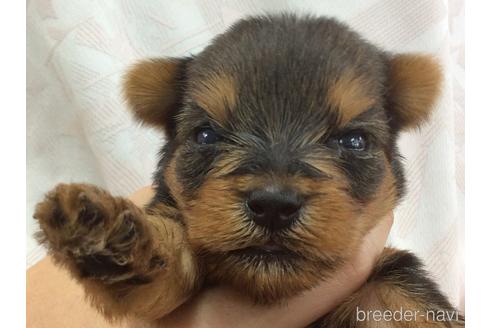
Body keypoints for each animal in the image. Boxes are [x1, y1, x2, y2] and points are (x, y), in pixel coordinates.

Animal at [32, 14, 464, 326]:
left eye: (354, 141)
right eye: (206, 134)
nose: (274, 205)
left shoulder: (393, 281)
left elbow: (409, 302)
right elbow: (171, 251)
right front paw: (106, 232)